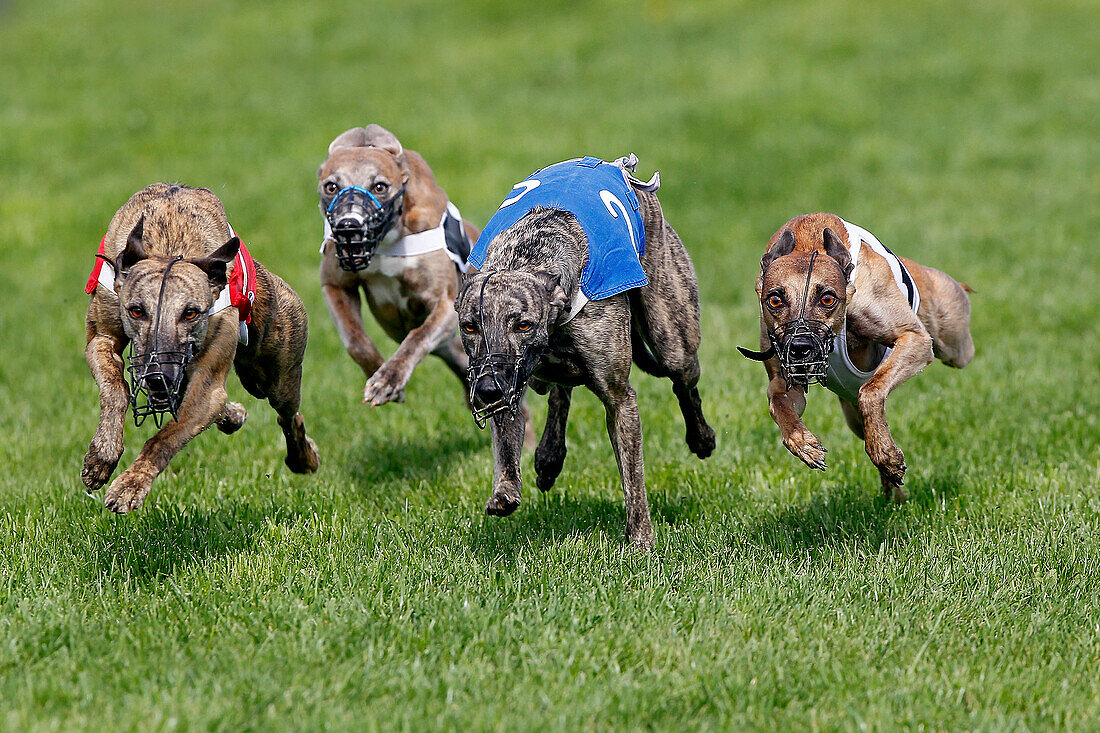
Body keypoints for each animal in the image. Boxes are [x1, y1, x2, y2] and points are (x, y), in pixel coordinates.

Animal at [82, 182, 319, 512]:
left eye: (191, 313)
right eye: (137, 311)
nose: (158, 378)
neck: (170, 243)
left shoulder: (208, 383)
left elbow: (167, 436)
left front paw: (130, 485)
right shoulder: (101, 337)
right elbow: (115, 388)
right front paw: (101, 457)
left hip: (273, 375)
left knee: (288, 414)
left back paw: (303, 457)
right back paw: (232, 415)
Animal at [314, 122, 477, 402]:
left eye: (380, 186)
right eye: (331, 186)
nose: (349, 226)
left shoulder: (445, 304)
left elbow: (418, 336)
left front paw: (388, 380)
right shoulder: (335, 286)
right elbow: (355, 341)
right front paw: (378, 373)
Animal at [453, 154, 712, 545]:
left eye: (523, 324)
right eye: (470, 326)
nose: (486, 390)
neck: (529, 254)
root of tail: (615, 165)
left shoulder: (620, 399)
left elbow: (633, 477)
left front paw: (641, 539)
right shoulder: (507, 376)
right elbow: (508, 434)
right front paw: (505, 490)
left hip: (671, 328)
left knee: (683, 378)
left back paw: (701, 438)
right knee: (560, 390)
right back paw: (548, 456)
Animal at [743, 210, 976, 497]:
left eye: (827, 298)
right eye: (775, 300)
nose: (800, 347)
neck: (808, 242)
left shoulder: (914, 339)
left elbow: (871, 390)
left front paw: (885, 454)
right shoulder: (784, 379)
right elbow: (778, 400)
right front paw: (804, 444)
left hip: (953, 339)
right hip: (852, 414)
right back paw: (893, 492)